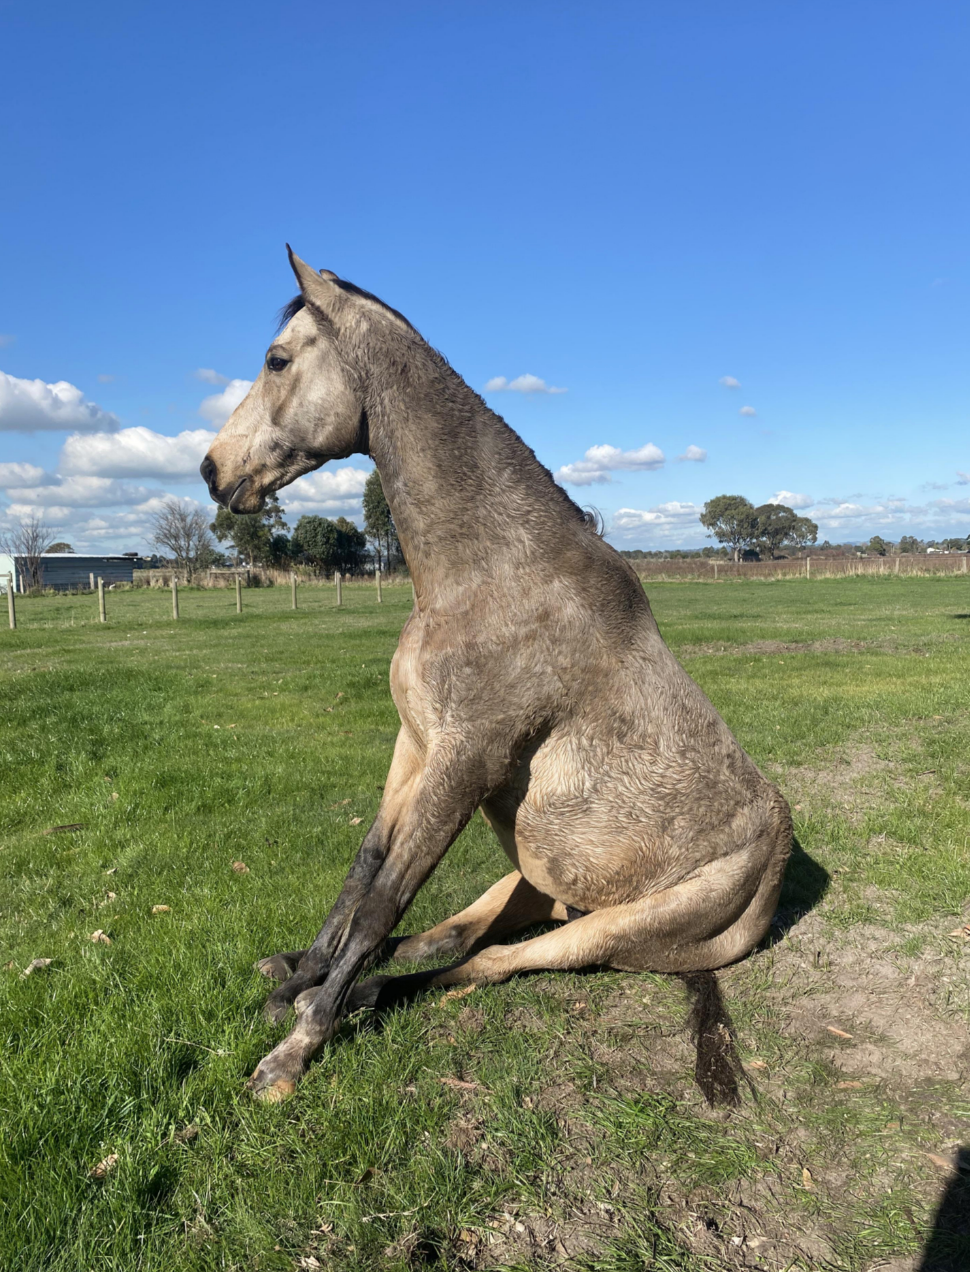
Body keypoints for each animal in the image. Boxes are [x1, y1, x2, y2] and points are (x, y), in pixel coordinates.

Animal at [201, 248, 792, 1102]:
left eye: (277, 361)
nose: (212, 472)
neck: (490, 572)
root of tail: (777, 867)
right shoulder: (416, 745)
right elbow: (365, 872)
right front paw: (300, 976)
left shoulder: (466, 757)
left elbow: (382, 902)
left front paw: (294, 1050)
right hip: (525, 885)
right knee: (448, 936)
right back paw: (302, 975)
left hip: (600, 932)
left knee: (479, 963)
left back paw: (348, 998)